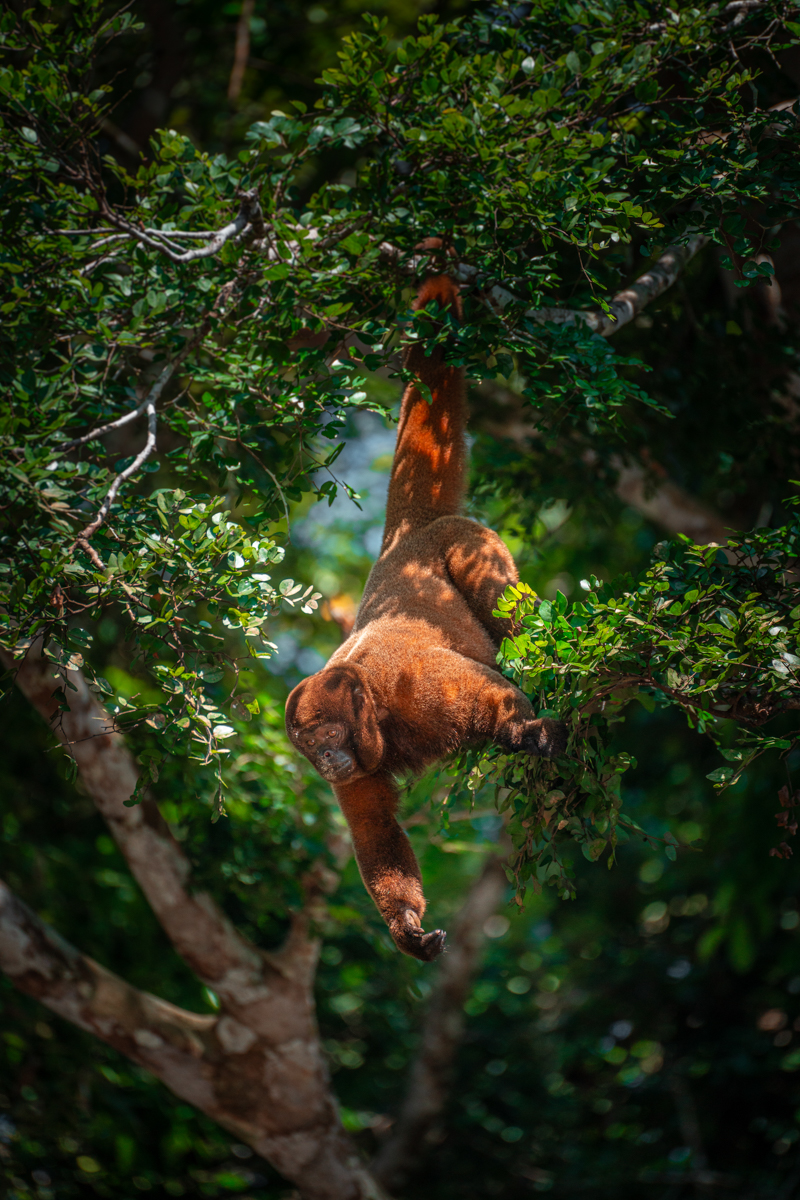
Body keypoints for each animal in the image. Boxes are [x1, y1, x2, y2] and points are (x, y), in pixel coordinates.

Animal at [285, 270, 567, 962]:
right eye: (308, 750)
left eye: (325, 737)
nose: (325, 763)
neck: (370, 708)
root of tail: (404, 537)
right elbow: (376, 828)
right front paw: (407, 928)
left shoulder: (405, 683)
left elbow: (482, 689)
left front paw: (526, 729)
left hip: (466, 538)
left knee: (499, 601)